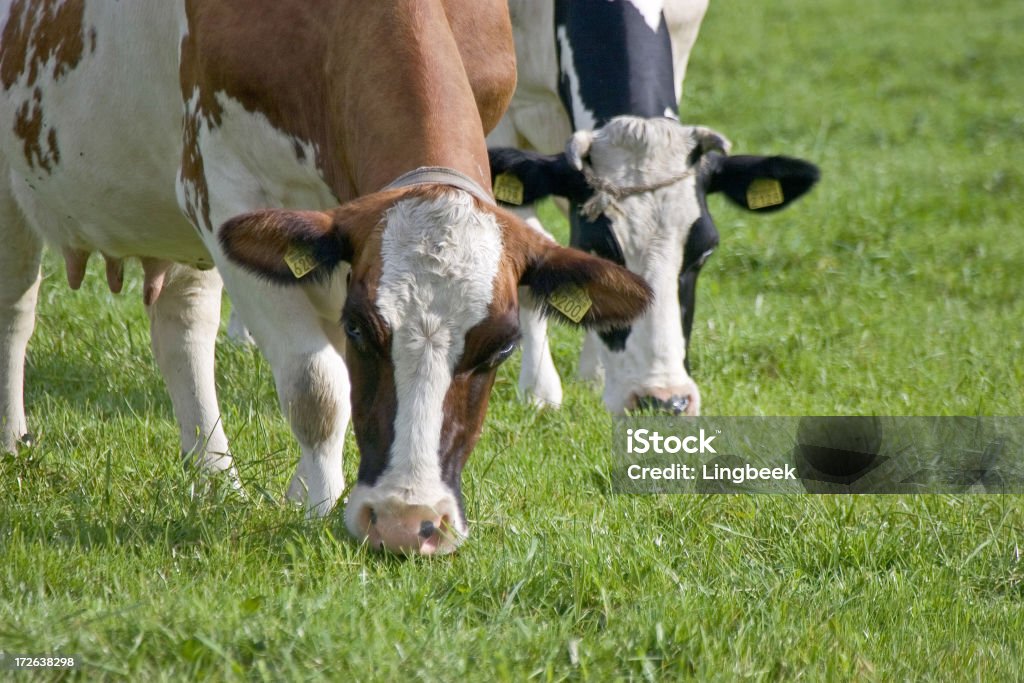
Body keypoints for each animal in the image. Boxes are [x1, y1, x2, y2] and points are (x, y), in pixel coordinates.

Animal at [0, 1, 647, 557]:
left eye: (501, 348)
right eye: (362, 329)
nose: (407, 523)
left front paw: (303, 489)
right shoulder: (227, 195)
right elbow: (318, 385)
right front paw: (321, 504)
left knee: (182, 330)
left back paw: (215, 478)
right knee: (15, 314)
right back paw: (11, 440)